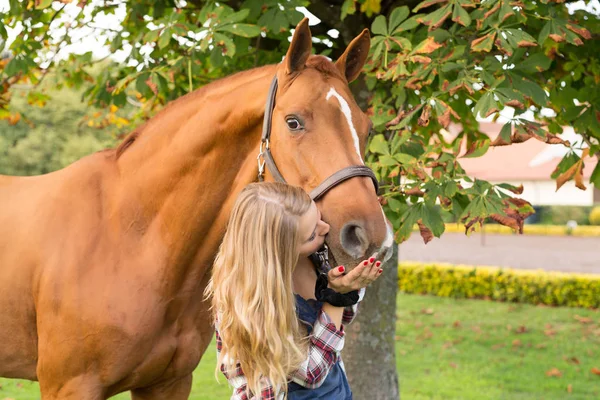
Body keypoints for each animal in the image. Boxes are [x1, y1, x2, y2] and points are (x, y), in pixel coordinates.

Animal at [0, 18, 394, 400]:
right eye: (293, 121)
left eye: (366, 127)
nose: (370, 236)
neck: (129, 238)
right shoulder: (70, 386)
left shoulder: (168, 383)